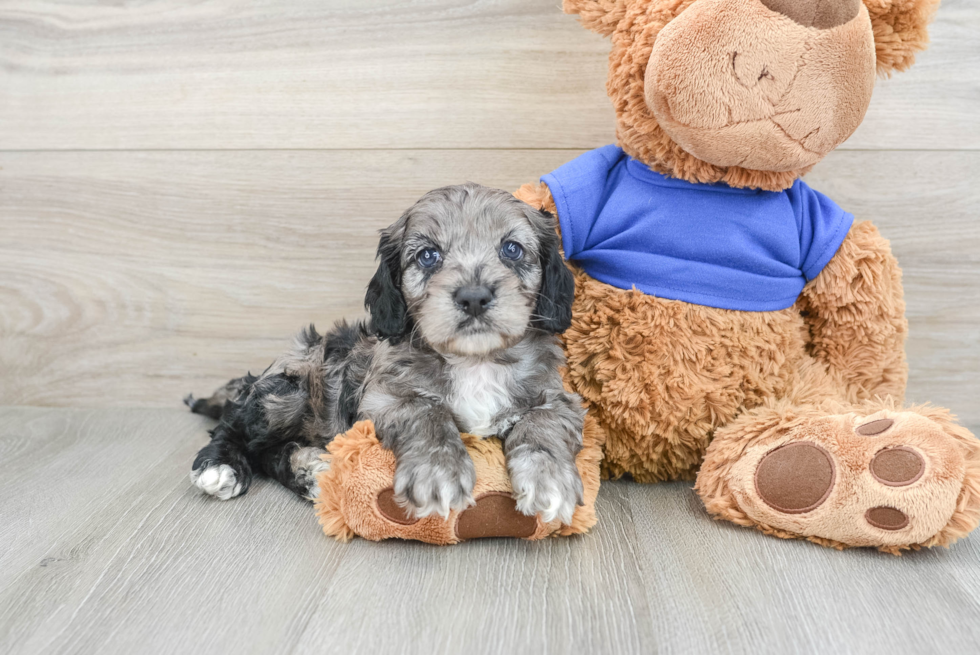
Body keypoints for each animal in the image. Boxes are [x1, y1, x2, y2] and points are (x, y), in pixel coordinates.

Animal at [185, 183, 584, 524]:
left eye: (512, 249)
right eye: (428, 256)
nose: (473, 297)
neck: (474, 361)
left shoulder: (559, 399)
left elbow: (541, 425)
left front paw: (549, 478)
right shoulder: (384, 398)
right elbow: (428, 411)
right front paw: (437, 471)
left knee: (271, 452)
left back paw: (311, 471)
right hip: (286, 392)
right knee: (236, 427)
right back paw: (220, 467)